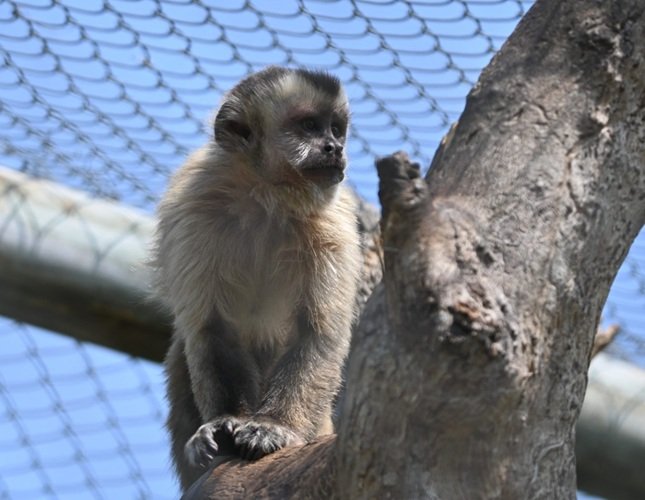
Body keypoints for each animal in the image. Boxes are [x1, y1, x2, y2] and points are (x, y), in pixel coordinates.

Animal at [151, 66, 362, 491]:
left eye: (336, 129)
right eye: (309, 126)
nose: (334, 147)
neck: (268, 197)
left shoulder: (332, 225)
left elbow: (318, 334)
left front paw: (273, 427)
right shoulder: (195, 204)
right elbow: (211, 328)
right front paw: (225, 423)